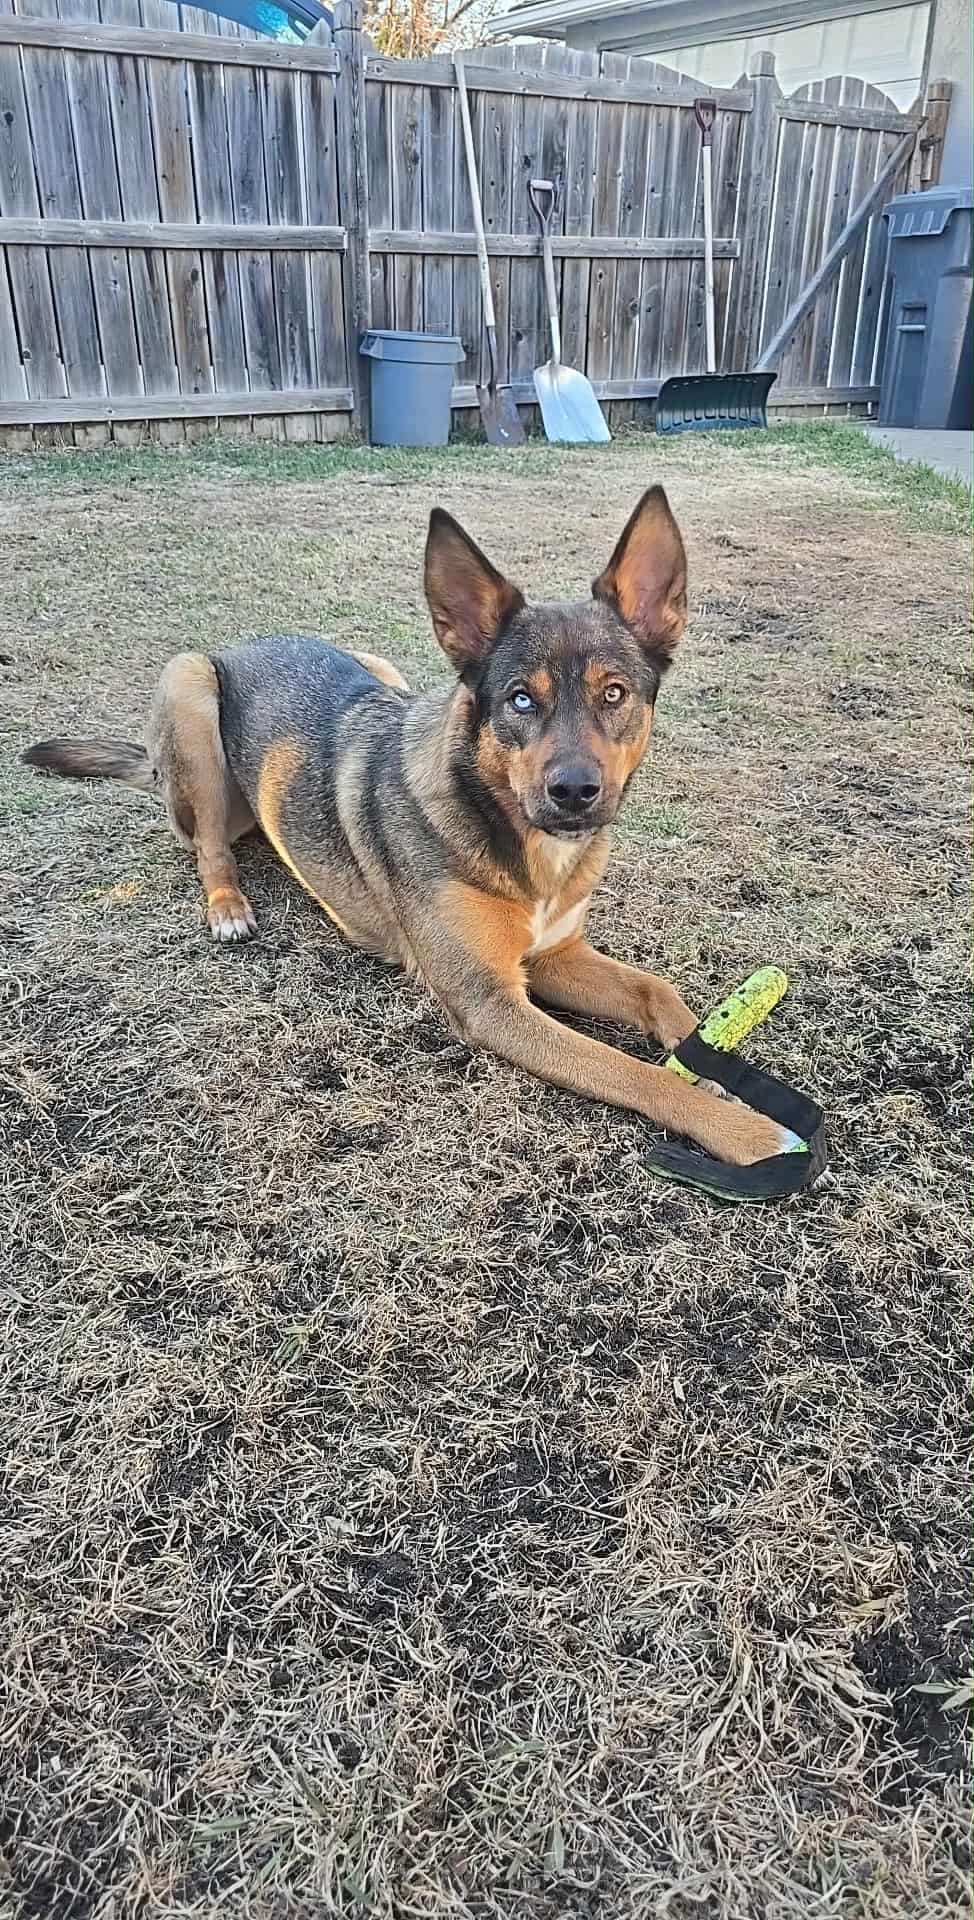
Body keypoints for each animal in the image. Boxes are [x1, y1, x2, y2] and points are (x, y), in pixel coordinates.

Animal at [23, 487, 789, 1167]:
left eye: (615, 694)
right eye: (519, 700)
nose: (575, 792)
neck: (510, 833)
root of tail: (244, 646)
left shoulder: (553, 957)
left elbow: (660, 993)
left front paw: (717, 1064)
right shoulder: (488, 1001)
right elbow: (635, 1072)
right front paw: (750, 1134)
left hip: (375, 666)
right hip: (189, 686)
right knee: (209, 847)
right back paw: (228, 906)